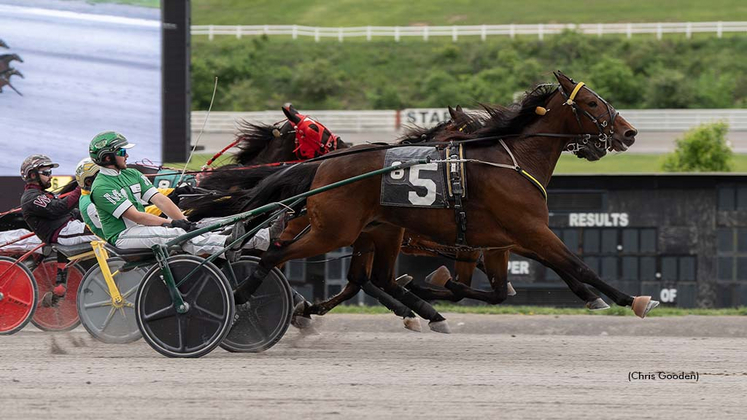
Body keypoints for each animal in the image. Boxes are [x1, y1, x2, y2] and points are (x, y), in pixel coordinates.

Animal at [234, 71, 660, 332]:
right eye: (591, 103)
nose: (629, 132)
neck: (511, 159)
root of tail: (323, 167)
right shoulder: (528, 229)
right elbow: (577, 265)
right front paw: (631, 299)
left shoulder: (496, 241)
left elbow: (498, 289)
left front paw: (431, 286)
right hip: (334, 231)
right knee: (275, 255)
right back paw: (241, 298)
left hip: (377, 231)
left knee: (366, 278)